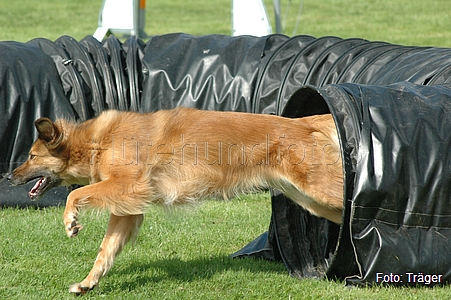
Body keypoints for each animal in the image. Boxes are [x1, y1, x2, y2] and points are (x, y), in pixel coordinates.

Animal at [7, 107, 342, 292]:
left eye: (31, 157)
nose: (8, 178)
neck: (96, 141)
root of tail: (303, 123)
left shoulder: (127, 186)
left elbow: (77, 193)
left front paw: (71, 221)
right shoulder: (127, 209)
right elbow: (106, 250)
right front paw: (88, 282)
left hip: (320, 191)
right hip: (311, 200)